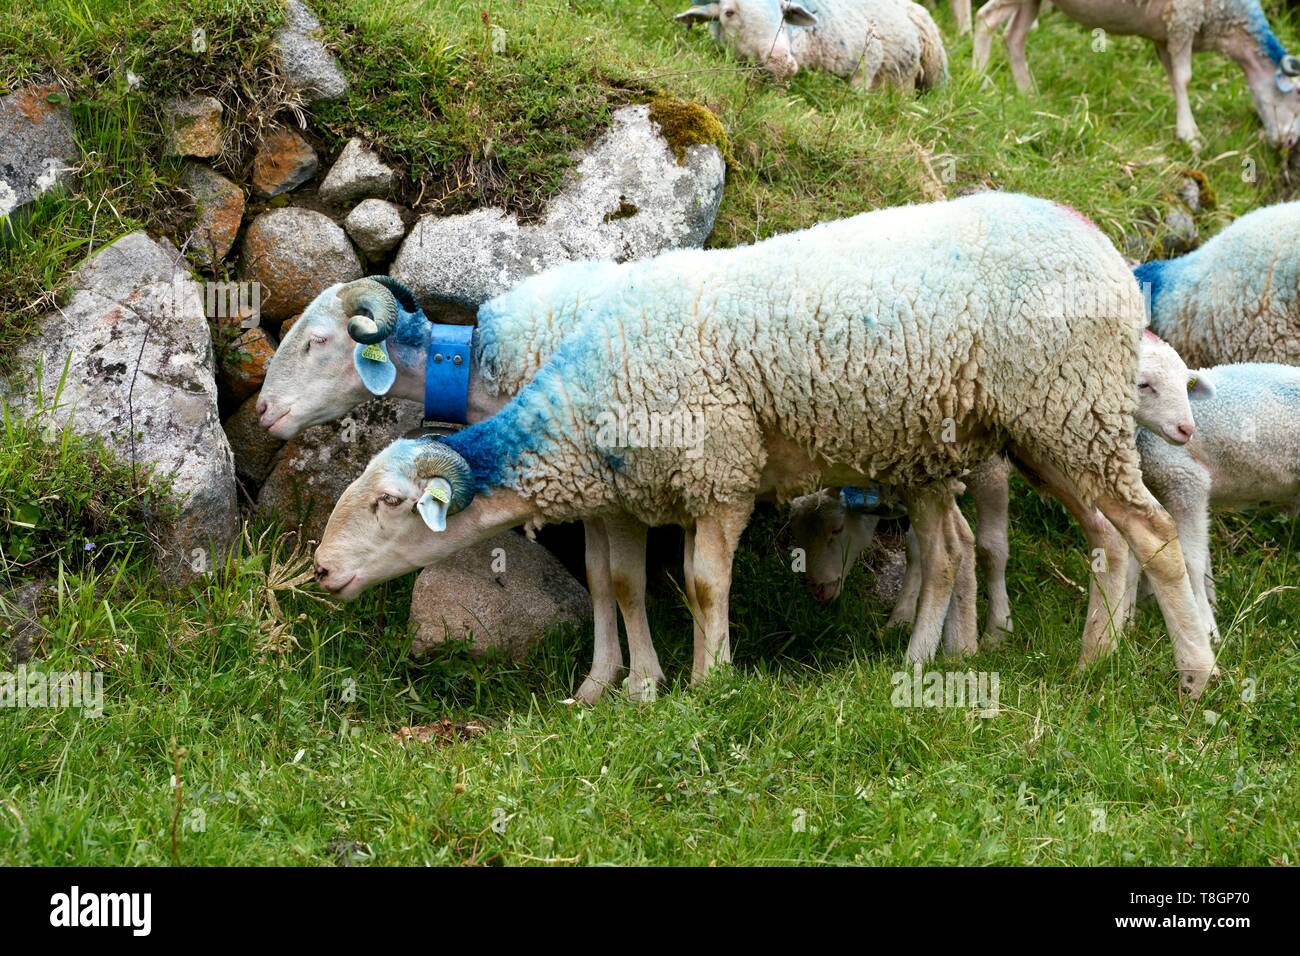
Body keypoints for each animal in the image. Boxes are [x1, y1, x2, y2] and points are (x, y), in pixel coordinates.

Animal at [790, 332, 1206, 647]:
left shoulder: (990, 472)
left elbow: (991, 548)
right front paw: (903, 617)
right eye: (799, 534)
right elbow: (916, 549)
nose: (818, 591)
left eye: (836, 529)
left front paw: (996, 631)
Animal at [972, 0, 1300, 147]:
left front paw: (1184, 126)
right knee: (986, 19)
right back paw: (977, 84)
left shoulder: (1164, 35)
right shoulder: (1184, 19)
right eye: (1297, 98)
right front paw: (1191, 136)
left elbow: (1174, 79)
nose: (1289, 144)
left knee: (1014, 37)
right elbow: (1185, 78)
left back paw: (1028, 96)